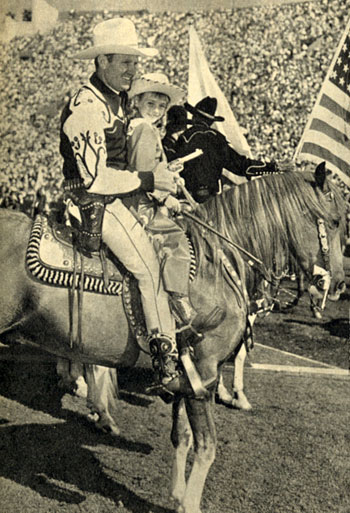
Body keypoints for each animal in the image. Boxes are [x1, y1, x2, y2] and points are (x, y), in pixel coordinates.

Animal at [0, 166, 344, 510]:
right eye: (337, 221)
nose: (339, 284)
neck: (217, 266)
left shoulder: (186, 379)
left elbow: (183, 437)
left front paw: (178, 496)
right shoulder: (204, 373)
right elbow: (207, 446)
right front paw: (190, 503)